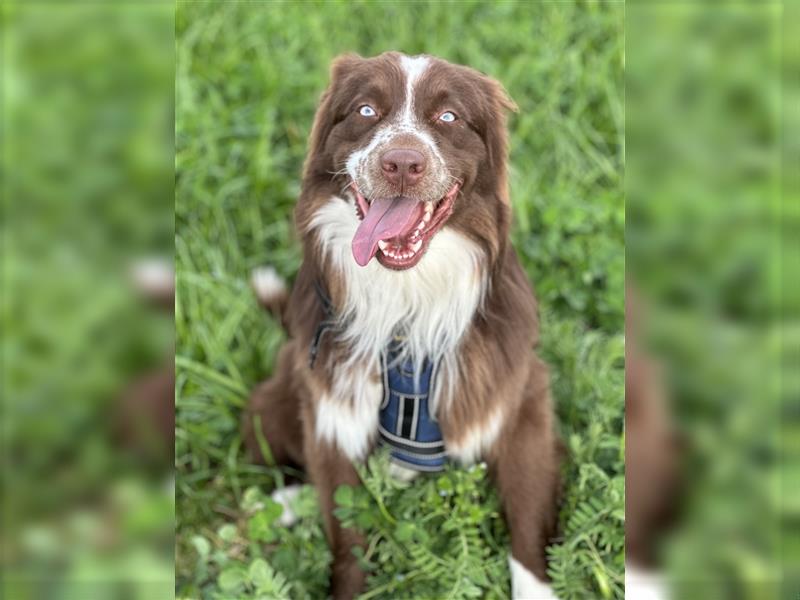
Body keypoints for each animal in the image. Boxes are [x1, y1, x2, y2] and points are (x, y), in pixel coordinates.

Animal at [241, 51, 560, 600]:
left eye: (449, 117)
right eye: (366, 110)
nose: (403, 164)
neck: (407, 298)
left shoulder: (520, 398)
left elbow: (526, 519)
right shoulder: (334, 412)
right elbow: (346, 534)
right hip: (275, 399)